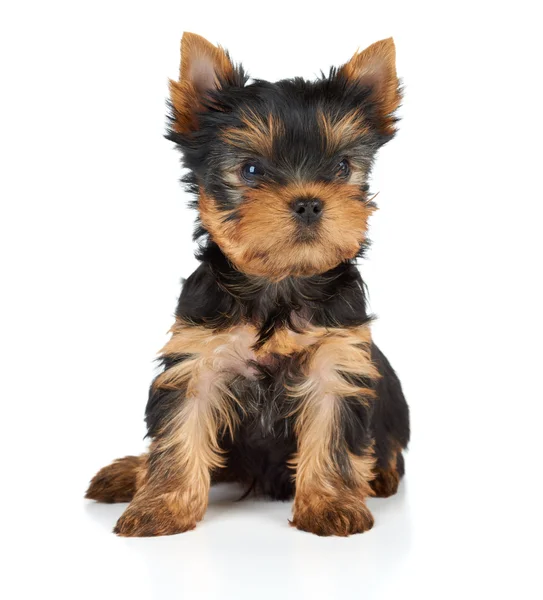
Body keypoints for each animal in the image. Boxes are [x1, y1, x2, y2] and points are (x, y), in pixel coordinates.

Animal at [86, 34, 408, 540]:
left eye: (342, 167)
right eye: (252, 170)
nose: (309, 203)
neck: (279, 282)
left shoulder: (337, 360)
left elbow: (333, 433)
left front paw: (331, 505)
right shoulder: (197, 355)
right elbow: (179, 430)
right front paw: (160, 508)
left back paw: (381, 474)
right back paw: (129, 473)